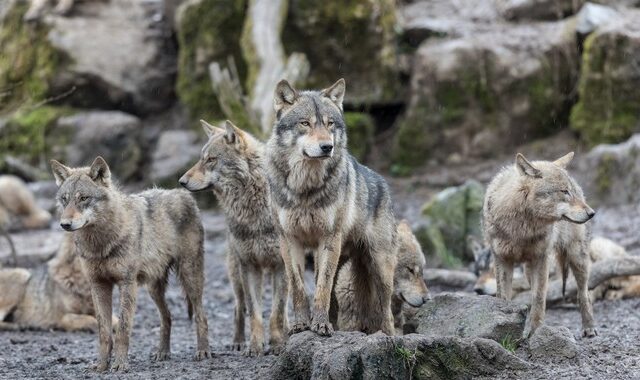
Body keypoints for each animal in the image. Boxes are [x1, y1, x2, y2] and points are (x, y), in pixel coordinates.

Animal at [51, 157, 210, 372]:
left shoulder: (127, 284)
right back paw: (162, 353)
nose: (65, 224)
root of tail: (183, 193)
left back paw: (203, 351)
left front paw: (119, 364)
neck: (101, 244)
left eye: (83, 198)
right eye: (65, 199)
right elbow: (104, 331)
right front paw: (101, 365)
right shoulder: (98, 285)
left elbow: (123, 328)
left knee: (202, 315)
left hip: (190, 278)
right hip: (153, 288)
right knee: (167, 317)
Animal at [178, 119, 288, 356]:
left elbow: (277, 312)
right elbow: (254, 313)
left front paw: (278, 344)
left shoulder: (281, 266)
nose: (181, 181)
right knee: (239, 306)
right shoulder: (249, 265)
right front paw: (254, 346)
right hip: (236, 272)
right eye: (201, 158)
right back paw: (238, 342)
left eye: (211, 159)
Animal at [264, 77, 396, 336]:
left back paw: (387, 336)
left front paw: (321, 325)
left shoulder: (328, 239)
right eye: (305, 123)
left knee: (387, 311)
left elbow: (321, 287)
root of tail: (383, 183)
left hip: (380, 268)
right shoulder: (289, 240)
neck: (305, 188)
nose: (327, 147)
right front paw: (301, 325)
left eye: (330, 123)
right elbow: (298, 288)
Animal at [482, 152, 596, 338]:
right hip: (528, 270)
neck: (522, 229)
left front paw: (536, 333)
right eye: (565, 192)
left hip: (577, 259)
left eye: (571, 192)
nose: (592, 213)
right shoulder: (502, 259)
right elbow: (503, 296)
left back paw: (589, 327)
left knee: (584, 293)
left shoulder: (541, 259)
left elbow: (539, 298)